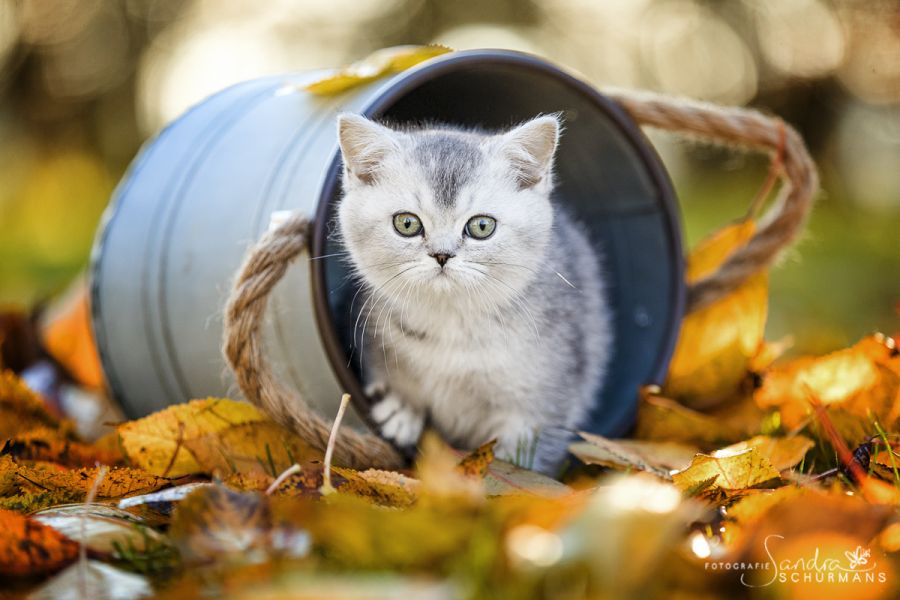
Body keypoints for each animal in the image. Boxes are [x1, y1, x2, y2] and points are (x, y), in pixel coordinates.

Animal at [336, 112, 612, 474]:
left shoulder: (543, 408)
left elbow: (523, 461)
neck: (452, 323)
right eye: (407, 224)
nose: (442, 255)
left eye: (482, 226)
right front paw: (401, 409)